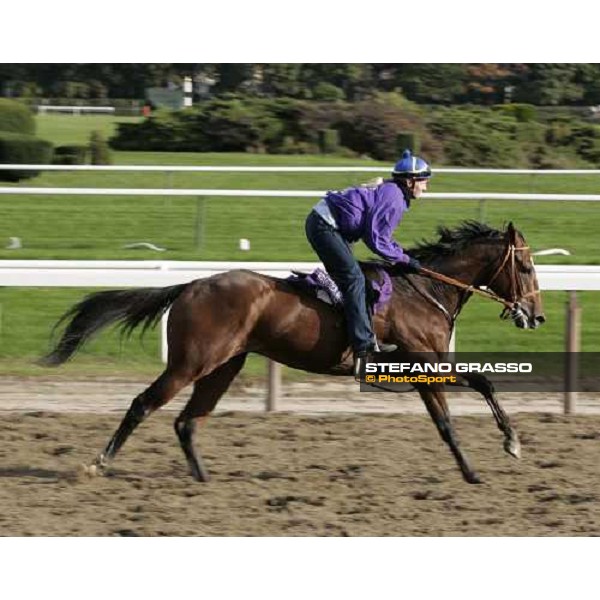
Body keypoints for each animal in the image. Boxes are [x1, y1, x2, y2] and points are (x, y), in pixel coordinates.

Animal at [42, 223, 544, 486]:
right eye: (524, 265)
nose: (535, 315)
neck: (425, 291)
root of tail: (191, 284)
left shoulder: (422, 370)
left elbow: (448, 418)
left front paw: (478, 466)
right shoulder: (425, 361)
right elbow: (479, 387)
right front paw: (507, 445)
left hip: (223, 365)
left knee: (187, 420)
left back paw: (203, 478)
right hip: (191, 362)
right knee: (143, 404)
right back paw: (98, 463)